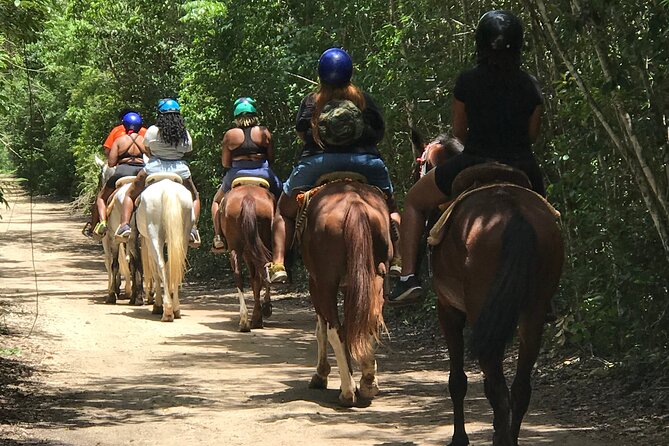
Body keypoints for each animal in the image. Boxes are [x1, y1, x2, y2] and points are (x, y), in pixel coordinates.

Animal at [136, 174, 193, 320]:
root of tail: (168, 190)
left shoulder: (148, 241)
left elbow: (155, 270)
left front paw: (157, 305)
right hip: (183, 236)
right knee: (177, 264)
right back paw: (176, 308)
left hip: (154, 236)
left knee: (160, 265)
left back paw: (167, 310)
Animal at [217, 183, 274, 332]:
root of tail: (248, 197)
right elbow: (256, 280)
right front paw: (259, 316)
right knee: (263, 269)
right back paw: (257, 314)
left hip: (237, 247)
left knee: (240, 275)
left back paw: (245, 320)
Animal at [298, 179, 388, 406]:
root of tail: (355, 205)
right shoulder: (351, 286)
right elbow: (352, 325)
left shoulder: (316, 283)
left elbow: (321, 330)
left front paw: (321, 375)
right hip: (375, 275)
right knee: (370, 319)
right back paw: (368, 383)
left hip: (325, 283)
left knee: (334, 330)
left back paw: (347, 392)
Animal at [430, 172, 560, 444]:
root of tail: (513, 212)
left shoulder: (448, 309)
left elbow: (458, 381)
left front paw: (459, 438)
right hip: (531, 313)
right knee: (519, 389)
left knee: (500, 392)